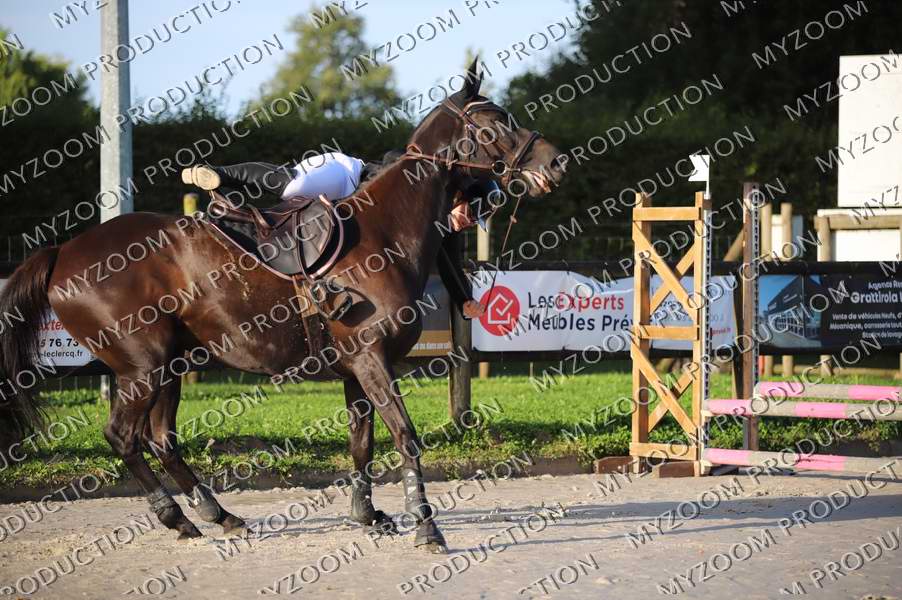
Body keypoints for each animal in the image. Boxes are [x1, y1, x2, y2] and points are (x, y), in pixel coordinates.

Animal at [0, 60, 566, 552]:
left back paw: (218, 515)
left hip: (171, 364)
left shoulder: (357, 368)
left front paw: (367, 514)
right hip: (143, 365)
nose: (555, 160)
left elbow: (362, 441)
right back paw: (176, 517)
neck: (385, 231)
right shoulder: (371, 360)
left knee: (161, 438)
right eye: (496, 121)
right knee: (123, 436)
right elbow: (404, 436)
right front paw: (426, 526)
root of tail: (62, 251)